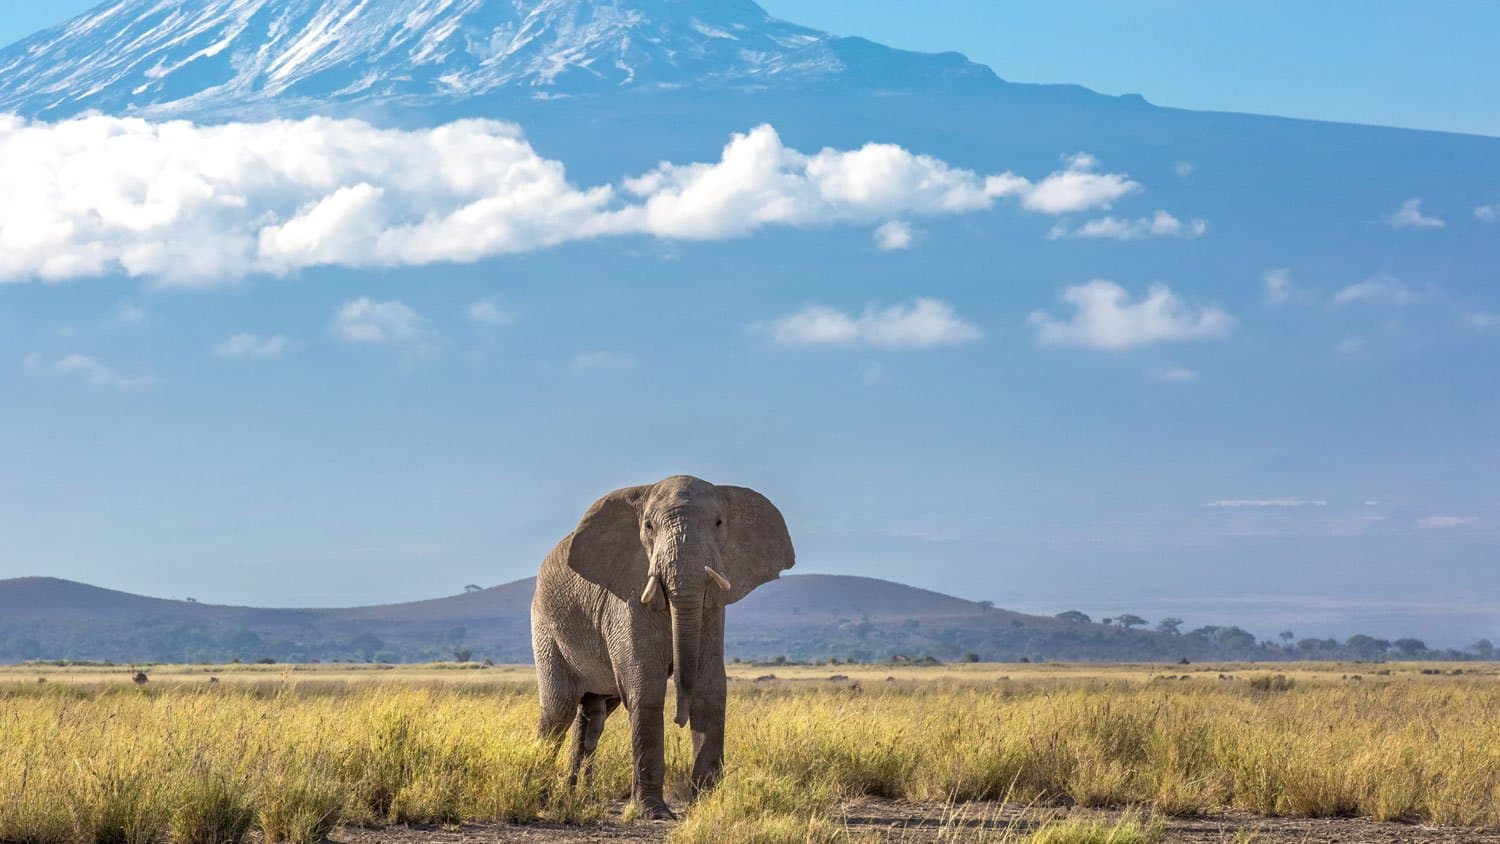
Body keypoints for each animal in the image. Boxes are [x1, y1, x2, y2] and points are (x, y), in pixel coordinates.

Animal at [530, 475, 795, 819]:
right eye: (648, 526)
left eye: (719, 523)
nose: (678, 719)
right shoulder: (627, 599)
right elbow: (646, 687)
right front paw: (654, 813)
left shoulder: (713, 605)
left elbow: (709, 688)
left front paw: (704, 804)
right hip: (546, 627)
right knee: (557, 712)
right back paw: (541, 798)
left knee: (592, 715)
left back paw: (577, 798)